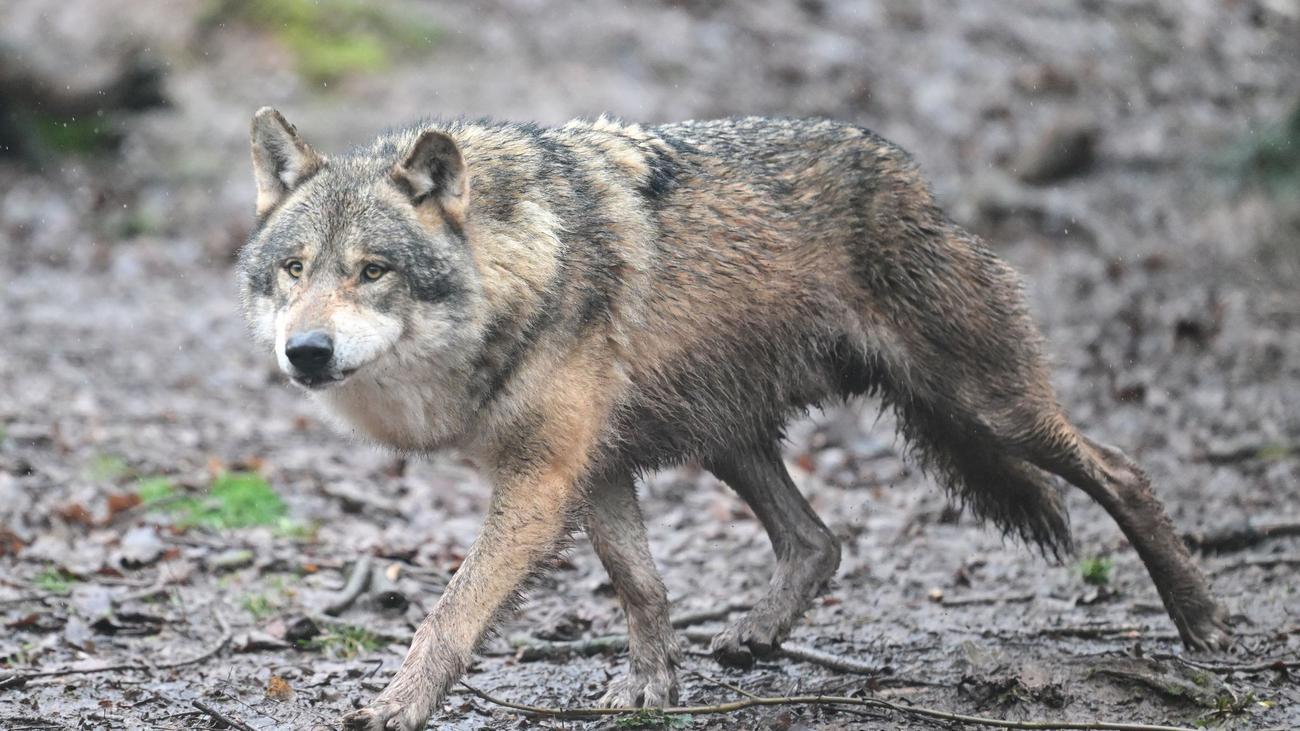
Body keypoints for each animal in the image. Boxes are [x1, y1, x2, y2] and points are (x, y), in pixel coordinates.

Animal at [238, 108, 1231, 730]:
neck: (520, 266)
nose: (306, 351)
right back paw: (755, 634)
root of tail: (913, 177)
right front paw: (649, 688)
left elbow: (449, 613)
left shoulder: (543, 476)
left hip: (986, 409)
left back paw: (1203, 624)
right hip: (730, 438)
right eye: (294, 268)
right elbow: (642, 585)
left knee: (1122, 468)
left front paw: (396, 705)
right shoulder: (595, 467)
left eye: (372, 271)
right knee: (818, 539)